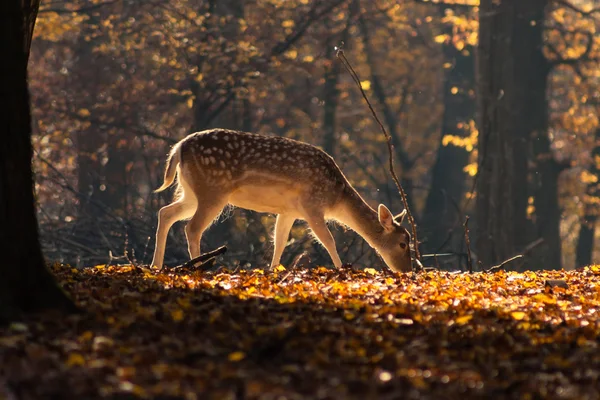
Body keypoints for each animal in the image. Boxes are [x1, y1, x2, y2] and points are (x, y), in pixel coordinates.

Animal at [151, 130, 412, 274]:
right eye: (402, 243)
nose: (408, 270)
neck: (336, 197)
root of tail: (178, 148)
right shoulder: (312, 205)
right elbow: (328, 240)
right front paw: (342, 269)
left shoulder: (289, 211)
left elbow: (279, 241)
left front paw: (272, 270)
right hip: (212, 190)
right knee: (191, 227)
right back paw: (197, 267)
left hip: (190, 192)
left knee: (165, 212)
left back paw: (156, 265)